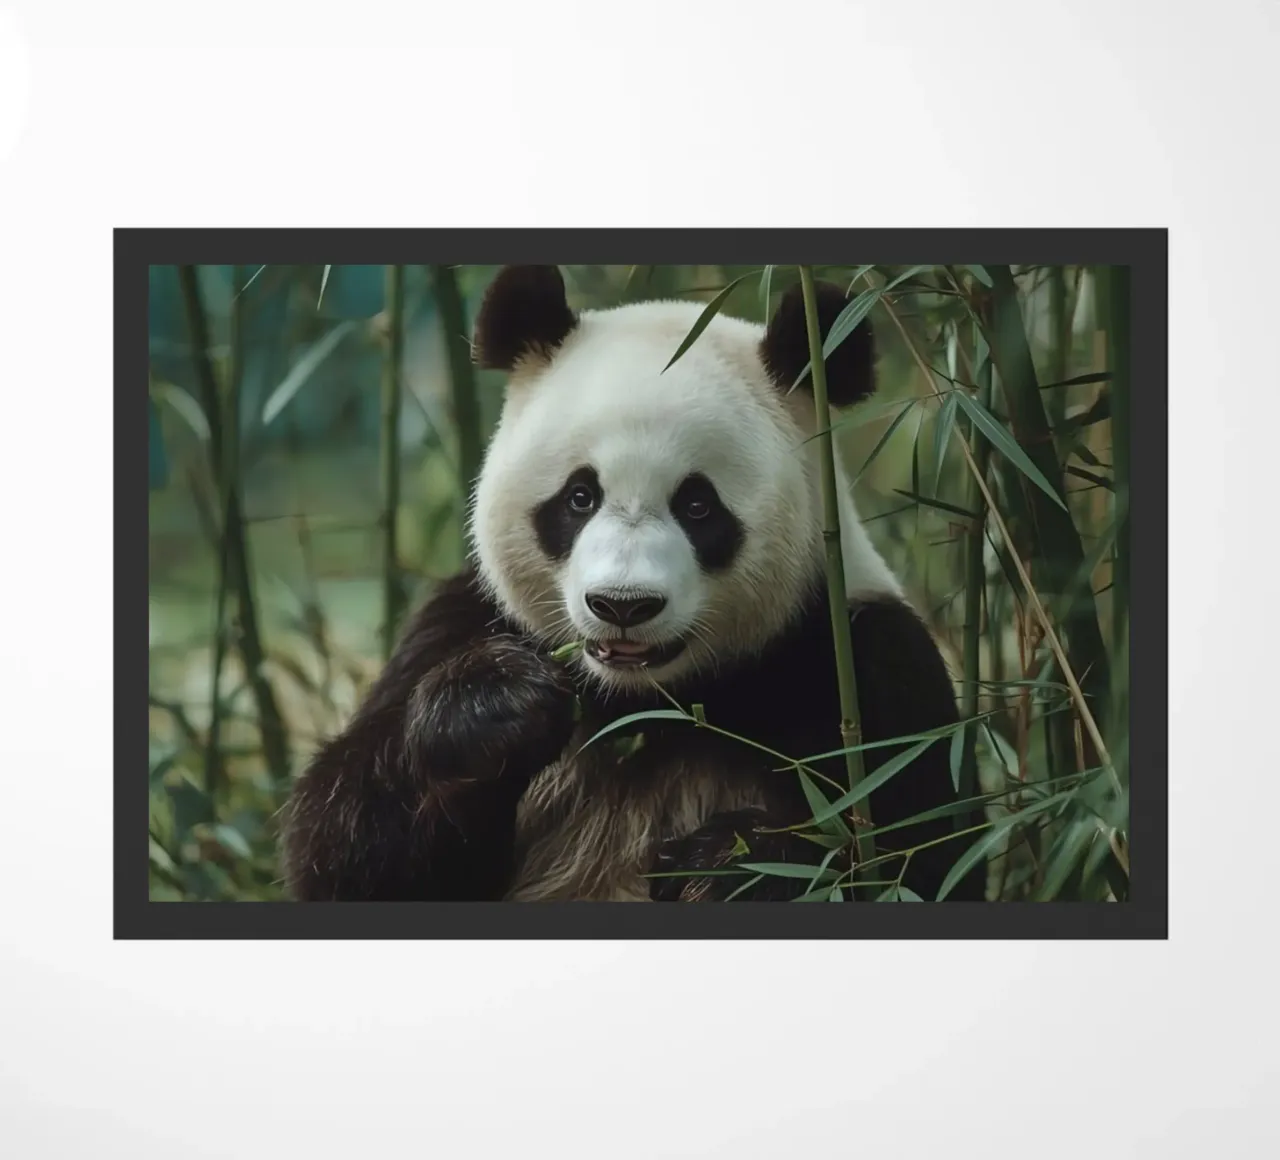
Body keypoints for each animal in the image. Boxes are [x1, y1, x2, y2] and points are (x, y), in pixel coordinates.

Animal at [280, 264, 986, 903]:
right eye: (580, 496)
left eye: (698, 506)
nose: (623, 605)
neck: (645, 699)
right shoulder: (462, 621)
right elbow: (351, 852)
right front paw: (495, 704)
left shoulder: (866, 667)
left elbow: (919, 860)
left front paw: (726, 864)